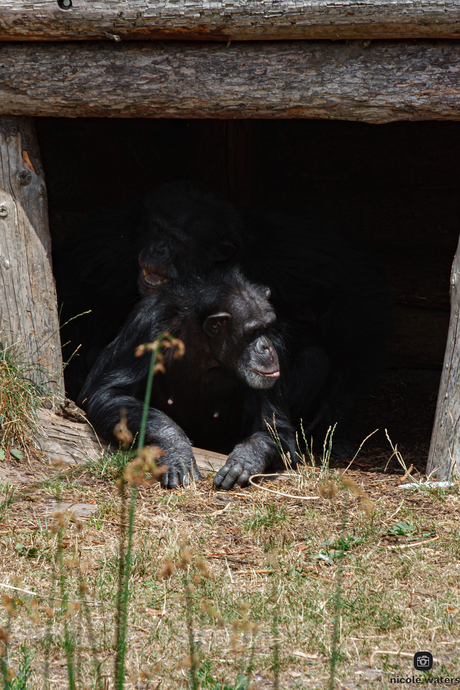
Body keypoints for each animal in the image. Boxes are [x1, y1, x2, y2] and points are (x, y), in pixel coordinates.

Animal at [57, 180, 388, 454]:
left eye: (177, 239)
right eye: (156, 228)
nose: (158, 249)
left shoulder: (284, 247)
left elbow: (352, 290)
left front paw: (336, 416)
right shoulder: (112, 242)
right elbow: (72, 284)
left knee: (314, 358)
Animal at [77, 266, 298, 486]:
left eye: (267, 327)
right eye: (252, 331)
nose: (266, 347)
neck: (206, 344)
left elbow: (275, 428)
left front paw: (246, 458)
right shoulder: (147, 323)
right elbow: (106, 391)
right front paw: (176, 449)